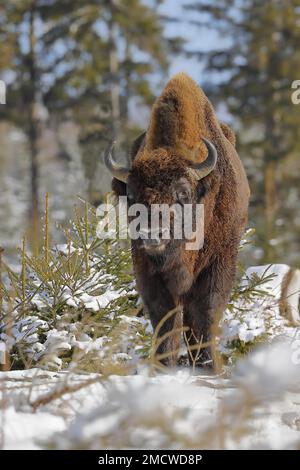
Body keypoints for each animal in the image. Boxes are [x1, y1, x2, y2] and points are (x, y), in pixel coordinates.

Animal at [104, 72, 250, 368]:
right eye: (132, 195)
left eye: (182, 193)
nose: (152, 234)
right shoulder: (146, 267)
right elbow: (165, 317)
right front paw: (163, 365)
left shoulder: (220, 260)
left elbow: (205, 312)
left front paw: (208, 366)